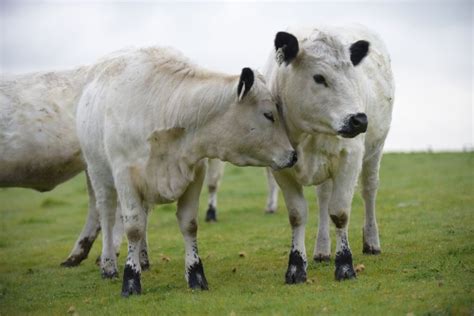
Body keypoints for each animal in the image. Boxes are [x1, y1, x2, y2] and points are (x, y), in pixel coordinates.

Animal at [78, 47, 298, 296]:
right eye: (269, 115)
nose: (293, 155)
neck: (166, 110)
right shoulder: (125, 177)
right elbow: (133, 228)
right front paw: (131, 279)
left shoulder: (195, 173)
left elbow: (189, 225)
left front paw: (195, 274)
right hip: (100, 177)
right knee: (106, 217)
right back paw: (108, 265)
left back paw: (143, 259)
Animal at [264, 25, 394, 282]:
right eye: (319, 77)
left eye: (353, 76)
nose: (359, 120)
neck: (306, 134)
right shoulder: (280, 168)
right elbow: (297, 214)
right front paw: (296, 268)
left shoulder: (350, 158)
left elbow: (340, 212)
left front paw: (345, 265)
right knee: (323, 197)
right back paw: (322, 250)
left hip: (374, 151)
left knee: (369, 191)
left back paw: (372, 242)